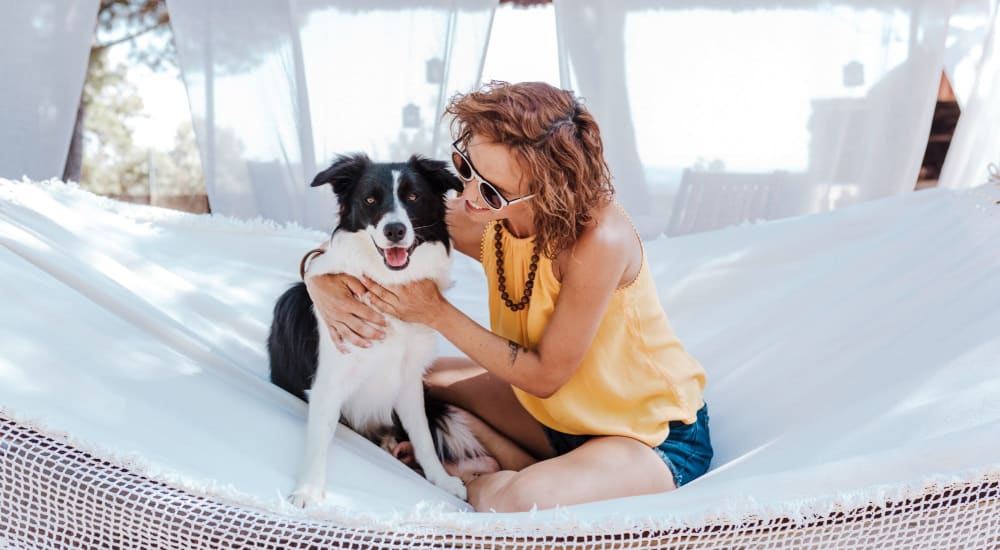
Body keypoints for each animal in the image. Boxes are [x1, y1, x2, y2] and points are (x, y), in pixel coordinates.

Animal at [266, 155, 484, 508]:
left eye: (413, 197)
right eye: (370, 200)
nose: (394, 230)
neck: (388, 282)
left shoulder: (409, 382)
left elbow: (423, 435)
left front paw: (441, 480)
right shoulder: (329, 383)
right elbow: (318, 439)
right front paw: (309, 490)